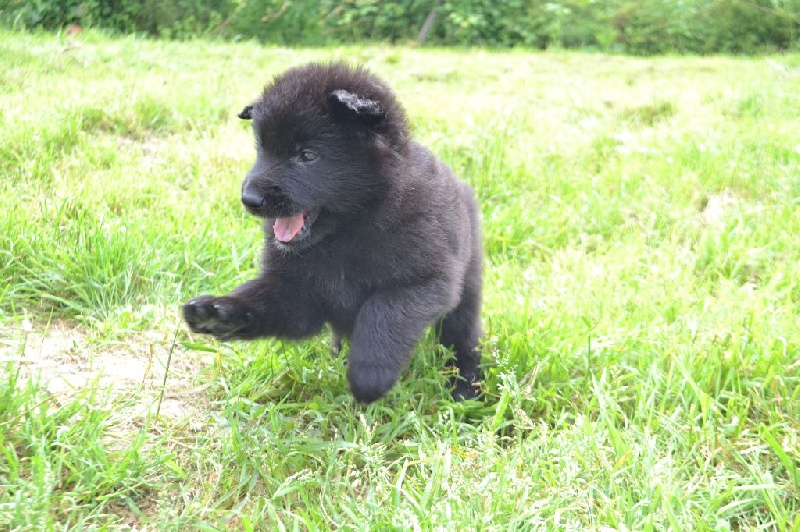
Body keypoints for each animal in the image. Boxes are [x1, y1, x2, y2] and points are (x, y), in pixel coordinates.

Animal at [183, 62, 482, 402]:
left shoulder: (426, 282)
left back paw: (465, 385)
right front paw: (221, 313)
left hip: (468, 284)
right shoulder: (297, 292)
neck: (346, 233)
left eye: (308, 155)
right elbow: (267, 303)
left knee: (462, 337)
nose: (250, 199)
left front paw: (369, 376)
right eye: (261, 149)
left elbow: (383, 313)